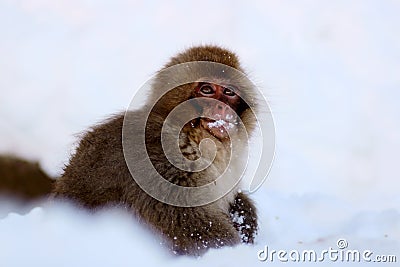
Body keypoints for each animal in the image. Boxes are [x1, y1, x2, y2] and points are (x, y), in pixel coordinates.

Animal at [52, 45, 260, 255]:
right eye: (207, 90)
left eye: (229, 92)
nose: (222, 107)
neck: (192, 135)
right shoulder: (163, 160)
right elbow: (184, 219)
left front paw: (245, 216)